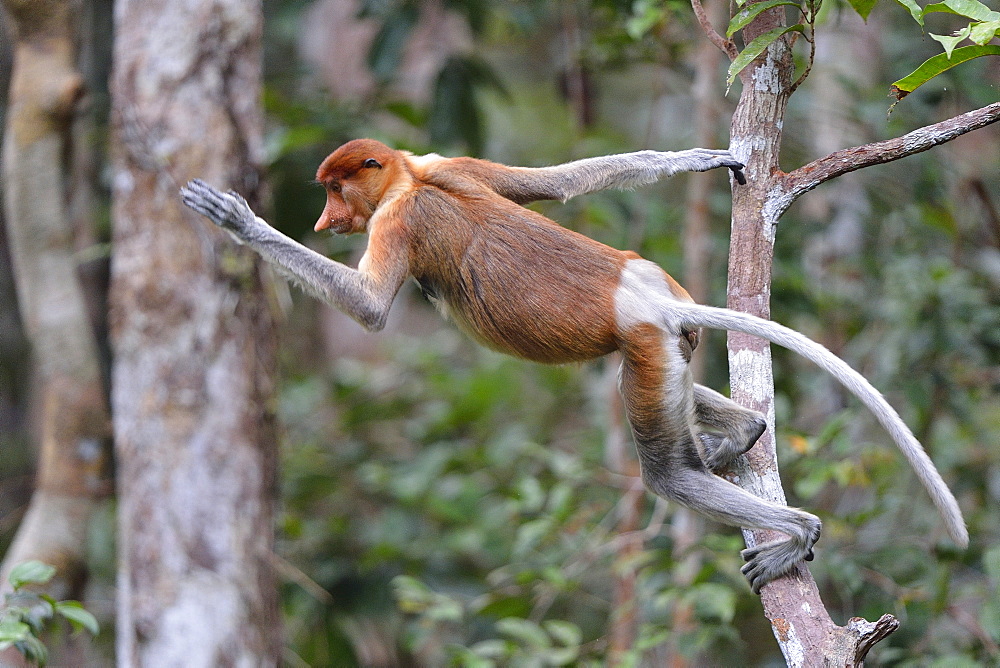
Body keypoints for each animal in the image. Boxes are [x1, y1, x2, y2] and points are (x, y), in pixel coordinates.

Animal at [182, 138, 968, 592]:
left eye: (335, 189)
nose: (322, 221)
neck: (410, 181)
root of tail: (647, 297)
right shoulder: (446, 163)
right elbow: (551, 183)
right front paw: (702, 158)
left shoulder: (397, 219)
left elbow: (370, 307)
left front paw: (236, 217)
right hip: (672, 339)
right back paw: (742, 435)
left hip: (645, 346)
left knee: (667, 472)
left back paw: (795, 531)